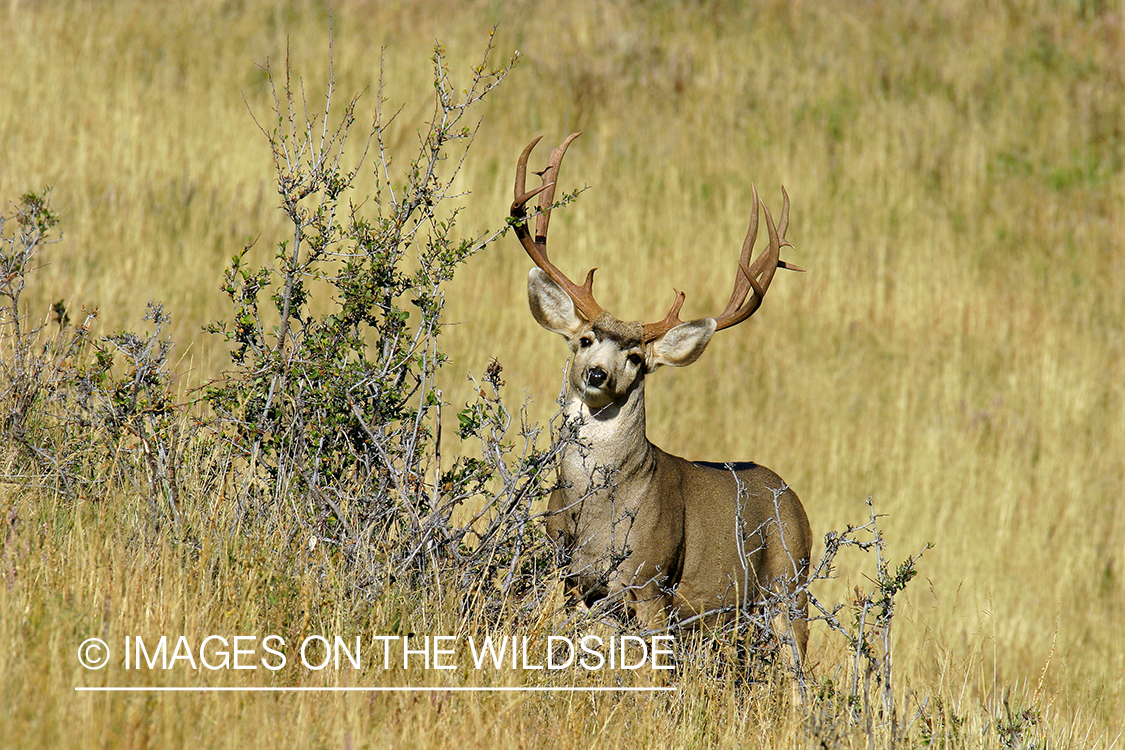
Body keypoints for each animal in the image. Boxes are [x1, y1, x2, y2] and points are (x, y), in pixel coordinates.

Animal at [510, 133, 813, 672]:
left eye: (636, 357)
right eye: (585, 339)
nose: (597, 374)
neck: (597, 515)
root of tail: (794, 498)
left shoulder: (651, 581)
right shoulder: (569, 576)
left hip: (788, 585)